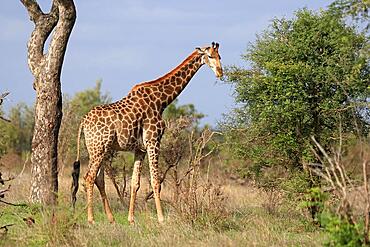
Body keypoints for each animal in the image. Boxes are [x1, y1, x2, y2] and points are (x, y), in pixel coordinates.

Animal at [72, 41, 223, 224]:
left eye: (220, 56)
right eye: (210, 56)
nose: (220, 72)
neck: (162, 101)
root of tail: (83, 122)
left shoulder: (140, 149)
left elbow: (135, 183)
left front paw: (131, 218)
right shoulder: (153, 141)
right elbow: (155, 181)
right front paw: (161, 218)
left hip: (99, 150)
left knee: (99, 179)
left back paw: (111, 218)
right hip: (98, 149)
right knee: (89, 177)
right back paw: (91, 219)